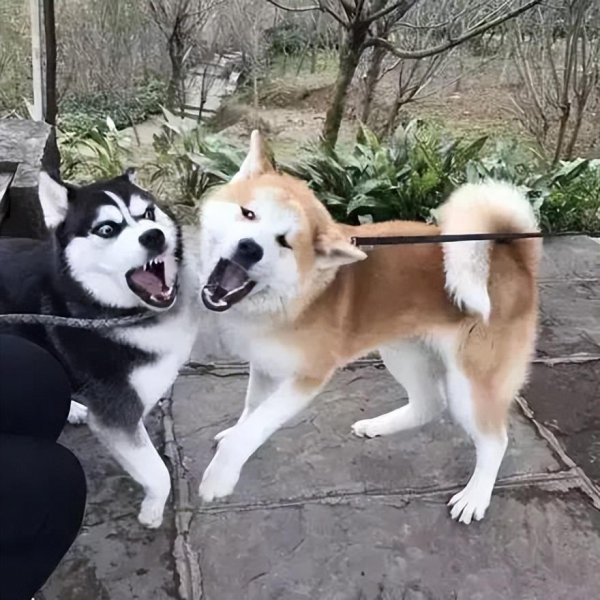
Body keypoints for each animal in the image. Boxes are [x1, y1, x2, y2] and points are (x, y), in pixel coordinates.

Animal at [197, 129, 540, 524]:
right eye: (248, 213)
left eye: (286, 242)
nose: (250, 248)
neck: (289, 301)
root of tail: (511, 255)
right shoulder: (265, 365)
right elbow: (251, 412)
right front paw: (236, 439)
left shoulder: (308, 377)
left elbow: (258, 423)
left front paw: (220, 475)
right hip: (403, 351)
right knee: (429, 404)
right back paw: (378, 426)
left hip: (470, 383)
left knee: (494, 440)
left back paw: (476, 496)